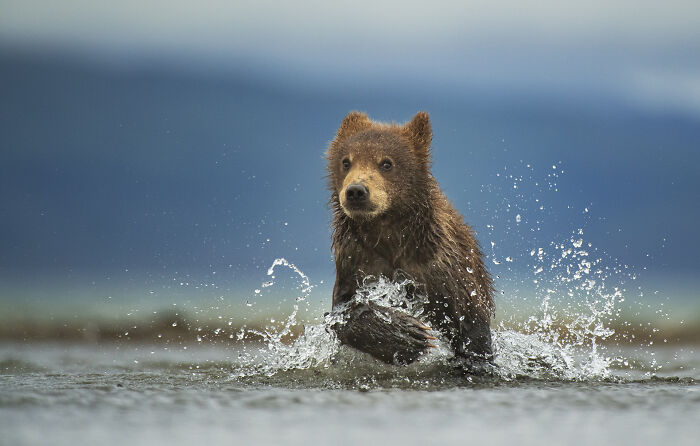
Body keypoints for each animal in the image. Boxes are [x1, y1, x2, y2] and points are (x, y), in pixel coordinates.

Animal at [326, 111, 494, 366]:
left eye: (386, 163)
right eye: (346, 161)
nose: (356, 191)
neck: (389, 234)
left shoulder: (444, 268)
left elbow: (471, 326)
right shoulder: (356, 260)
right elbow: (340, 312)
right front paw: (404, 335)